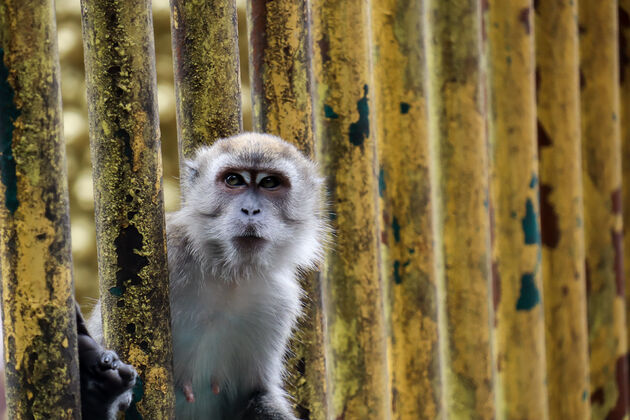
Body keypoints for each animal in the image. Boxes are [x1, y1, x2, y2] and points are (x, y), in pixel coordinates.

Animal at [89, 134, 330, 420]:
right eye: (234, 180)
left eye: (270, 183)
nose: (250, 210)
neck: (228, 273)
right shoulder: (169, 254)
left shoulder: (279, 300)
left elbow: (256, 394)